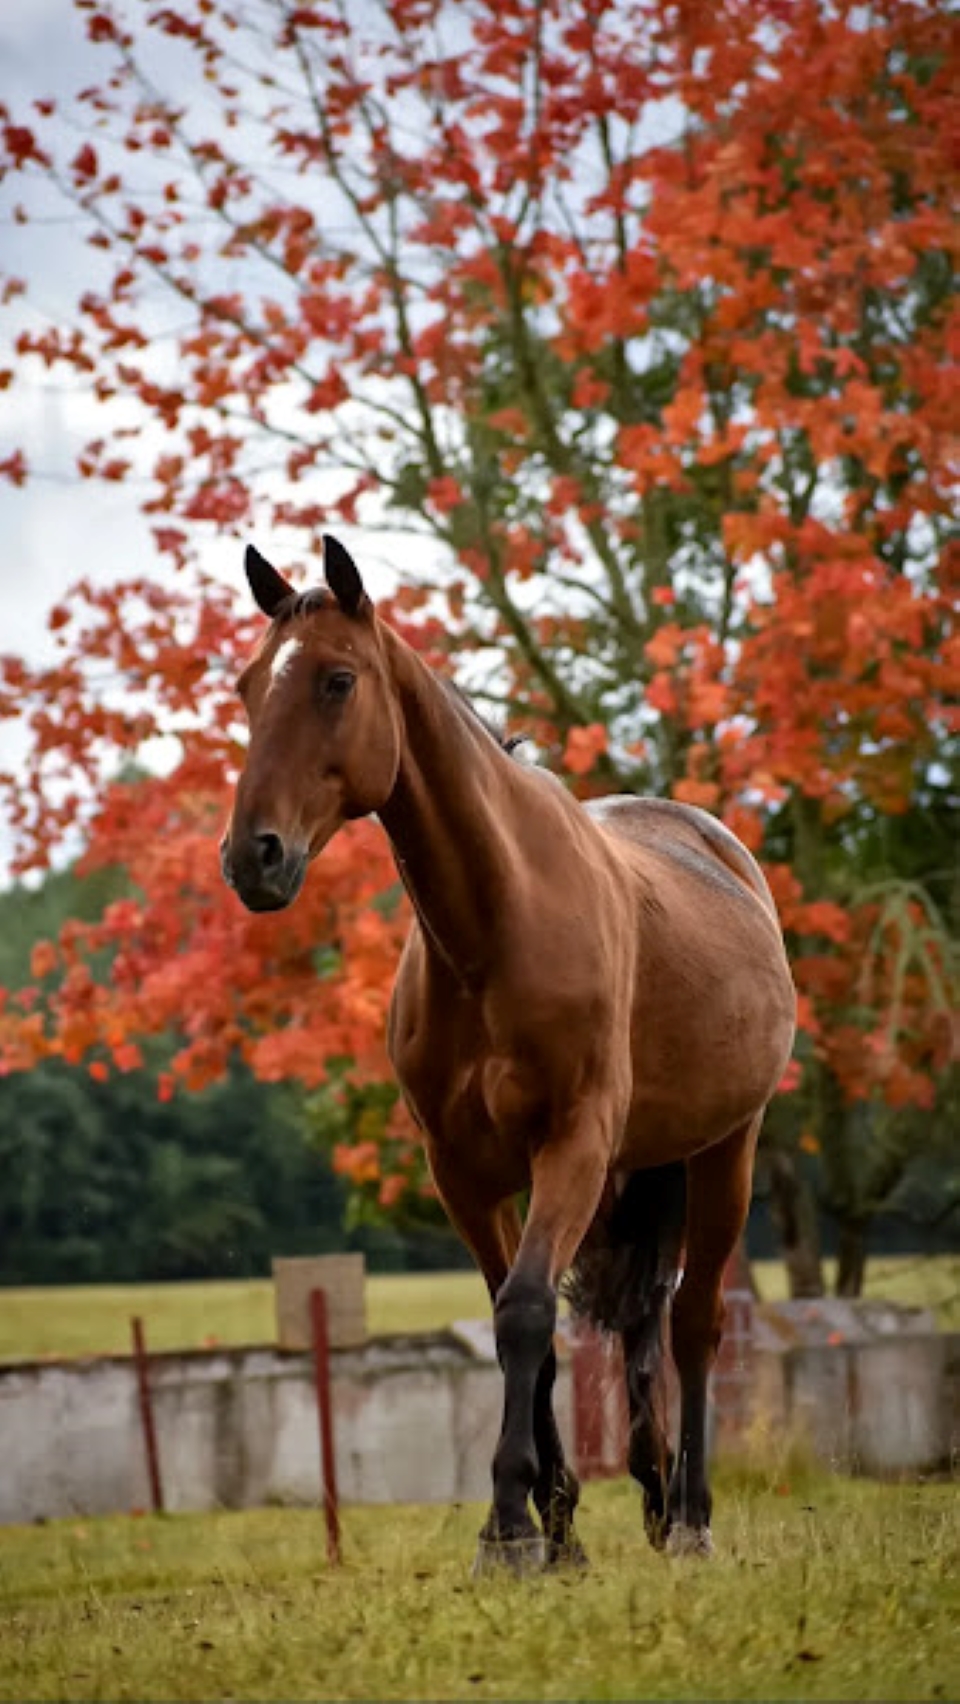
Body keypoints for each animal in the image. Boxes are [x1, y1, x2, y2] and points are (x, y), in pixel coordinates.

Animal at [219, 535, 798, 1567]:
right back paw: (654, 1497)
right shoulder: (464, 1170)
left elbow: (527, 1311)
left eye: (336, 680)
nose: (255, 858)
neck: (498, 925)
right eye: (250, 687)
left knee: (693, 1322)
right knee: (642, 1320)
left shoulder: (570, 1142)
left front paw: (510, 1523)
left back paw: (691, 1514)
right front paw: (551, 1524)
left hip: (724, 1150)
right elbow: (518, 1328)